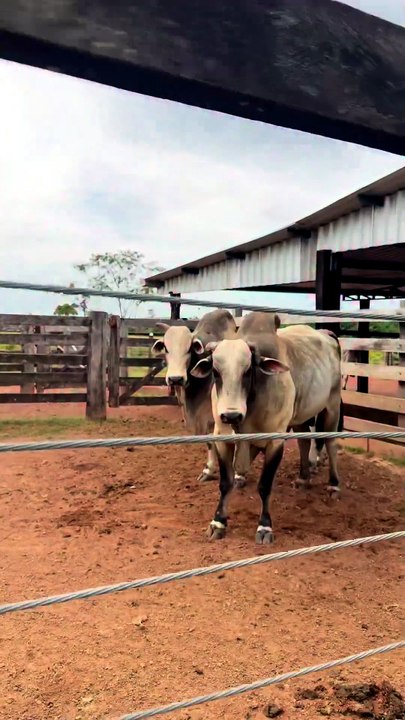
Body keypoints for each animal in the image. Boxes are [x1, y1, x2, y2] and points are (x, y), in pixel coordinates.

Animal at [151, 309, 249, 486]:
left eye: (188, 349)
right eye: (166, 349)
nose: (175, 379)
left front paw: (239, 474)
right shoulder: (205, 420)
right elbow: (210, 442)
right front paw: (208, 471)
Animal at [190, 312, 342, 544]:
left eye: (247, 370)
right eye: (215, 371)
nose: (231, 415)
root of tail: (327, 335)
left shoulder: (275, 440)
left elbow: (265, 485)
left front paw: (264, 526)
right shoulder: (222, 438)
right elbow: (225, 483)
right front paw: (218, 522)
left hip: (332, 406)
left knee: (331, 444)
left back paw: (333, 484)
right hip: (300, 416)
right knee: (304, 441)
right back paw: (303, 478)